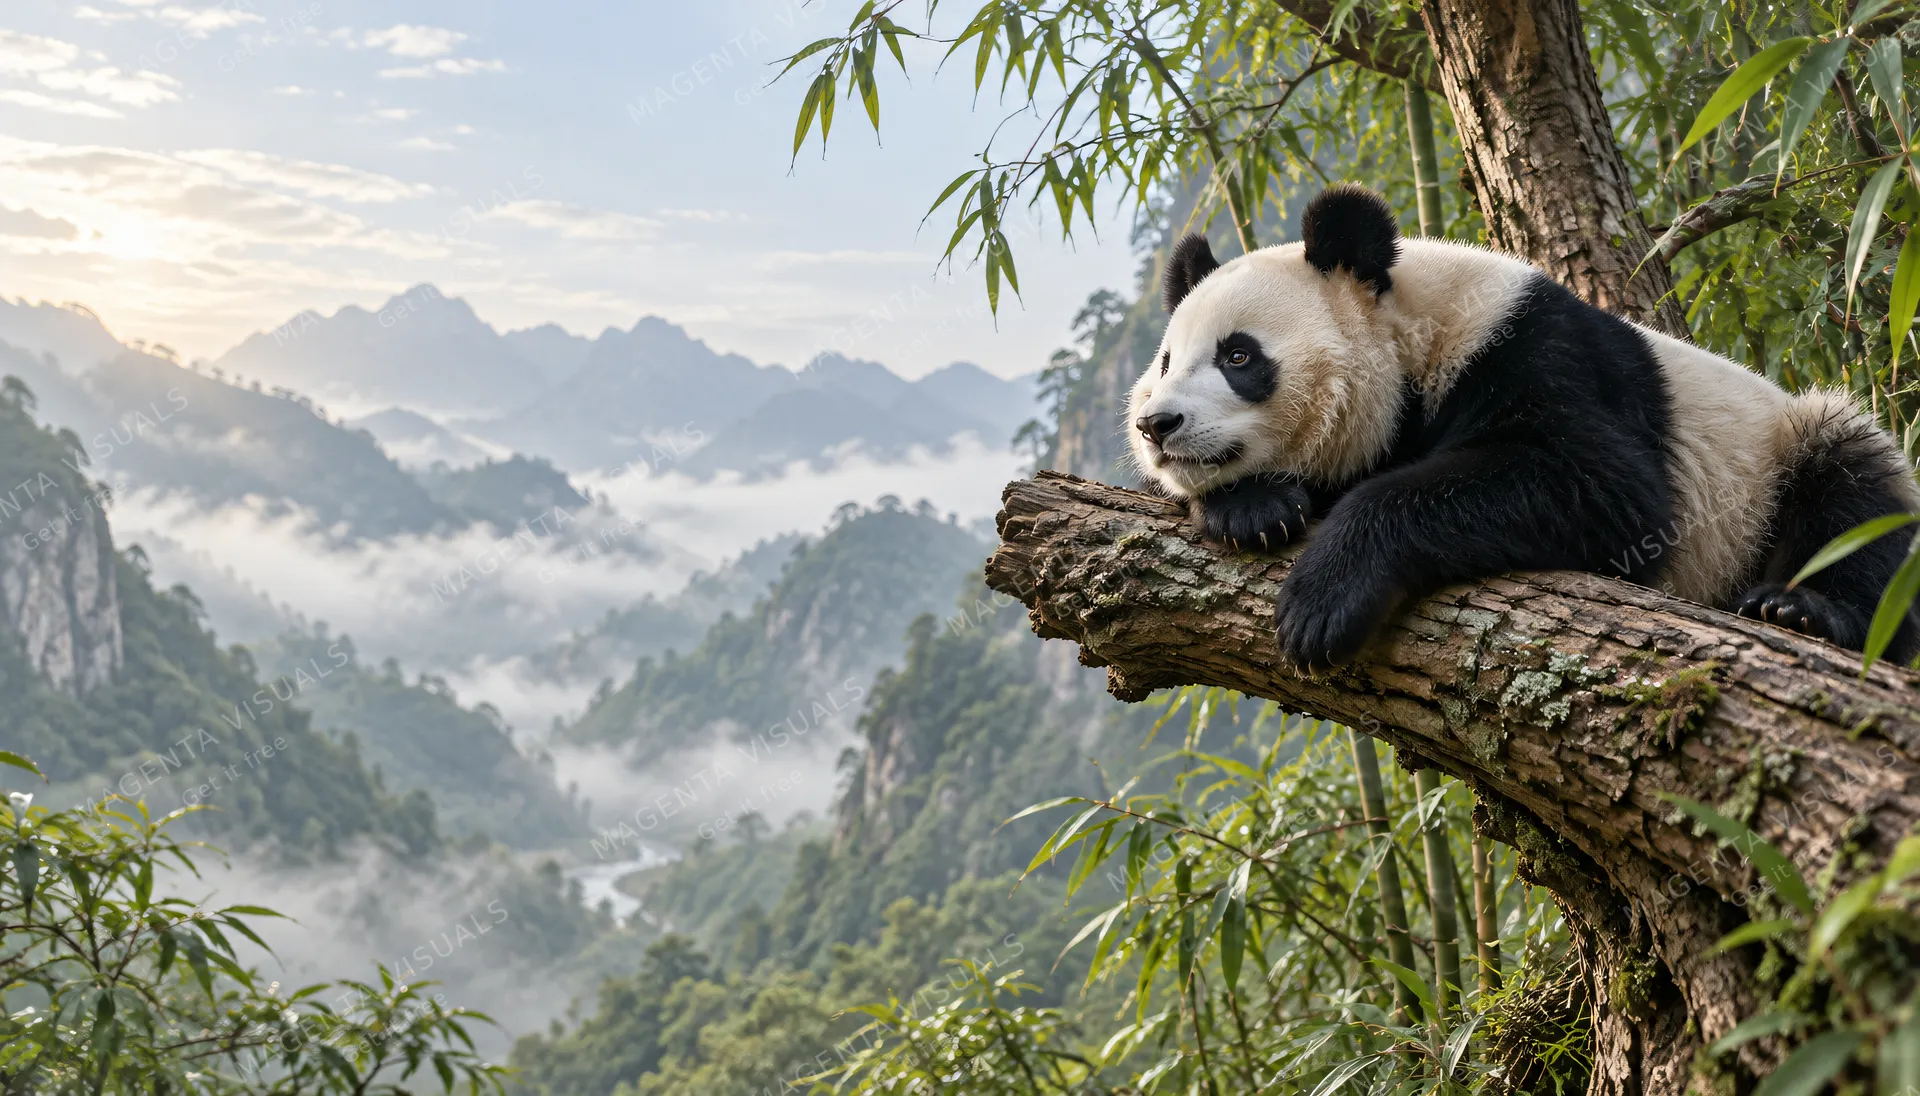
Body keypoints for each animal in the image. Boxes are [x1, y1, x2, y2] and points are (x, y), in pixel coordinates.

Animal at [1127, 183, 1920, 671]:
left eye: (1238, 356)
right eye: (1165, 360)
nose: (1156, 424)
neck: (1414, 337)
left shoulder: (1536, 355)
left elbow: (1599, 485)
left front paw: (1323, 601)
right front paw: (1254, 508)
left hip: (1780, 457)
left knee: (1857, 498)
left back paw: (1805, 610)